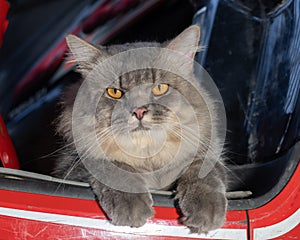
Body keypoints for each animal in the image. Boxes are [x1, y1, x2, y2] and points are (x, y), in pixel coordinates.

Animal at [54, 25, 227, 232]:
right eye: (114, 92)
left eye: (159, 88)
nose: (138, 111)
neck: (148, 157)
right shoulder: (74, 165)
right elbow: (112, 166)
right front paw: (131, 207)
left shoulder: (206, 151)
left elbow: (202, 172)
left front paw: (206, 209)